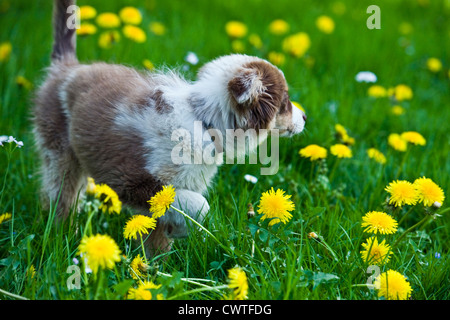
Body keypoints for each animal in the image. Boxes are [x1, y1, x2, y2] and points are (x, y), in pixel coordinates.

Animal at [32, 0, 306, 255]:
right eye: (285, 102)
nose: (305, 117)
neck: (204, 121)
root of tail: (66, 67)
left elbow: (157, 234)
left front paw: (153, 266)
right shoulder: (133, 181)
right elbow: (198, 205)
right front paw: (184, 232)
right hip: (59, 152)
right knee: (60, 197)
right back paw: (63, 234)